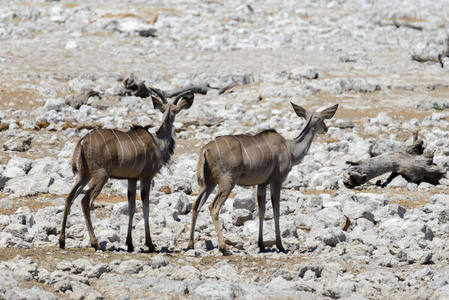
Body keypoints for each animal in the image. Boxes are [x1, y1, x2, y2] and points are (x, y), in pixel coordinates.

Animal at [58, 88, 193, 252]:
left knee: (69, 197)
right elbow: (145, 207)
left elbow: (131, 207)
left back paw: (62, 241)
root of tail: (82, 141)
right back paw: (95, 243)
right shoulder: (146, 177)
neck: (157, 143)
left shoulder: (131, 179)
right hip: (100, 176)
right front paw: (150, 244)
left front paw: (130, 244)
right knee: (85, 201)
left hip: (84, 176)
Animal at [187, 102, 338, 255]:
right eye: (321, 119)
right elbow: (276, 210)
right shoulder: (277, 181)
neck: (290, 149)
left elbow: (262, 210)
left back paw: (191, 245)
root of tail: (205, 150)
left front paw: (261, 245)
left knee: (195, 205)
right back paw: (224, 249)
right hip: (227, 182)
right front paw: (280, 246)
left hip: (208, 184)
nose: (326, 128)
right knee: (213, 207)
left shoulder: (261, 184)